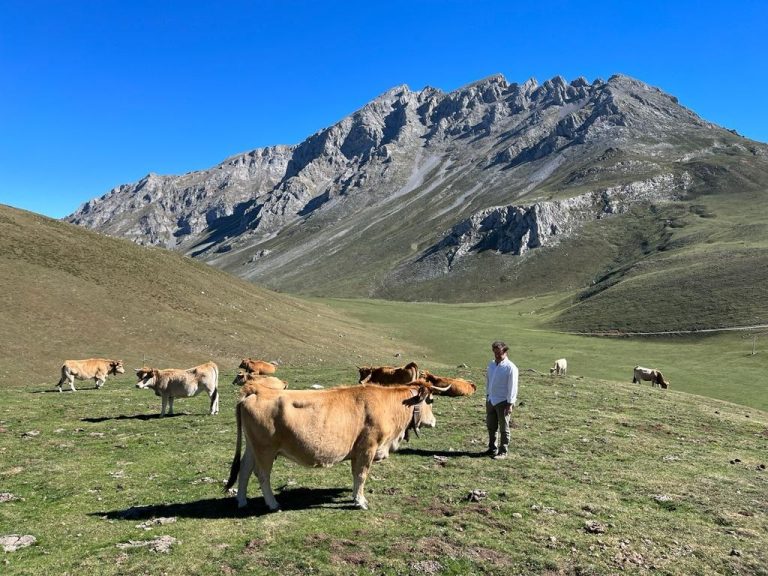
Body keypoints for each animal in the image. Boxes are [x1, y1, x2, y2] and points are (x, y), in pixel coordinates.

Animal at [225, 380, 448, 510]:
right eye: (431, 400)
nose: (434, 421)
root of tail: (255, 392)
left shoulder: (358, 452)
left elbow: (356, 475)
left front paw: (355, 497)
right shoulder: (367, 448)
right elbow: (362, 475)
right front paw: (361, 502)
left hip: (252, 447)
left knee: (244, 470)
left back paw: (242, 501)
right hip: (265, 449)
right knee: (262, 474)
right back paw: (272, 503)